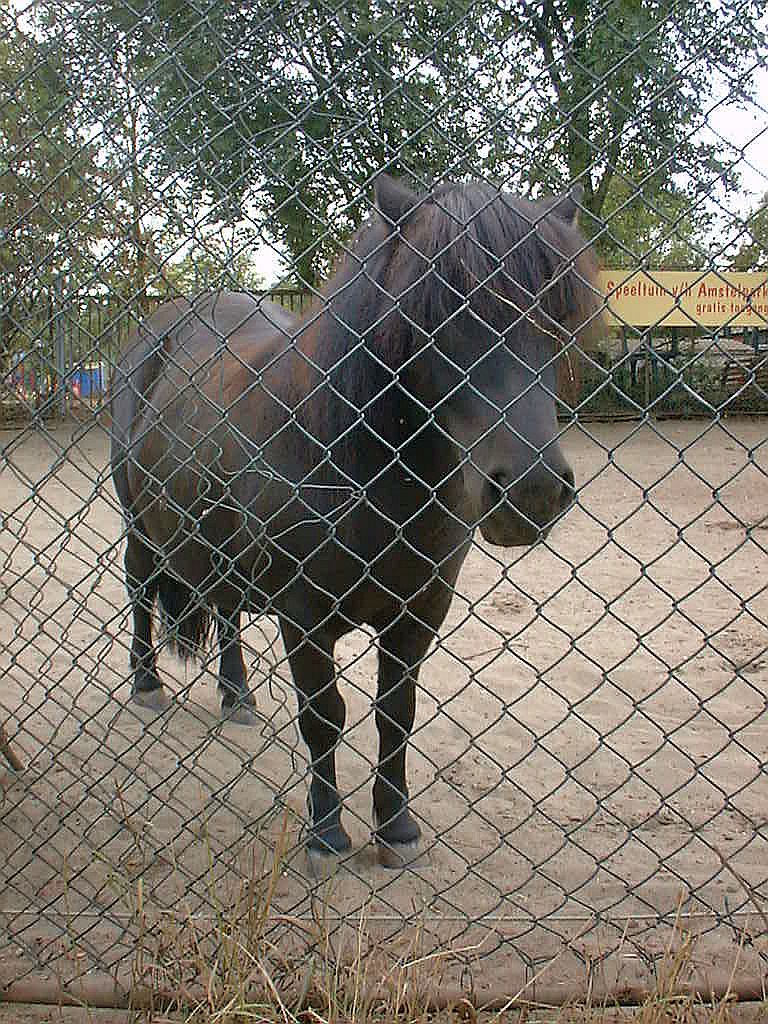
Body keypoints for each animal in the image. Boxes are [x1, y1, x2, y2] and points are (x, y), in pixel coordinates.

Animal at [109, 175, 601, 866]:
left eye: (557, 315)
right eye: (437, 311)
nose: (530, 491)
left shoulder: (419, 611)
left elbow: (397, 712)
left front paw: (396, 828)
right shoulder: (304, 617)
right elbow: (324, 717)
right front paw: (326, 832)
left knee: (225, 609)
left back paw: (237, 696)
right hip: (139, 528)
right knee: (140, 589)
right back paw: (147, 685)